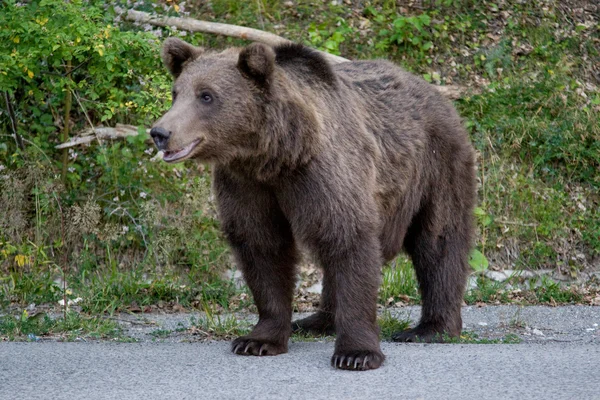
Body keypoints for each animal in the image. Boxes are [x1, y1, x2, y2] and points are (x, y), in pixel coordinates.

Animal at [151, 38, 478, 372]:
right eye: (176, 93)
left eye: (206, 95)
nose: (160, 132)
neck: (276, 156)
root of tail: (434, 91)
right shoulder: (246, 184)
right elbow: (261, 246)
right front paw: (258, 340)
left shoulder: (323, 174)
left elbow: (349, 238)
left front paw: (356, 353)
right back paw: (316, 321)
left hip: (436, 165)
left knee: (439, 239)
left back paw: (430, 328)